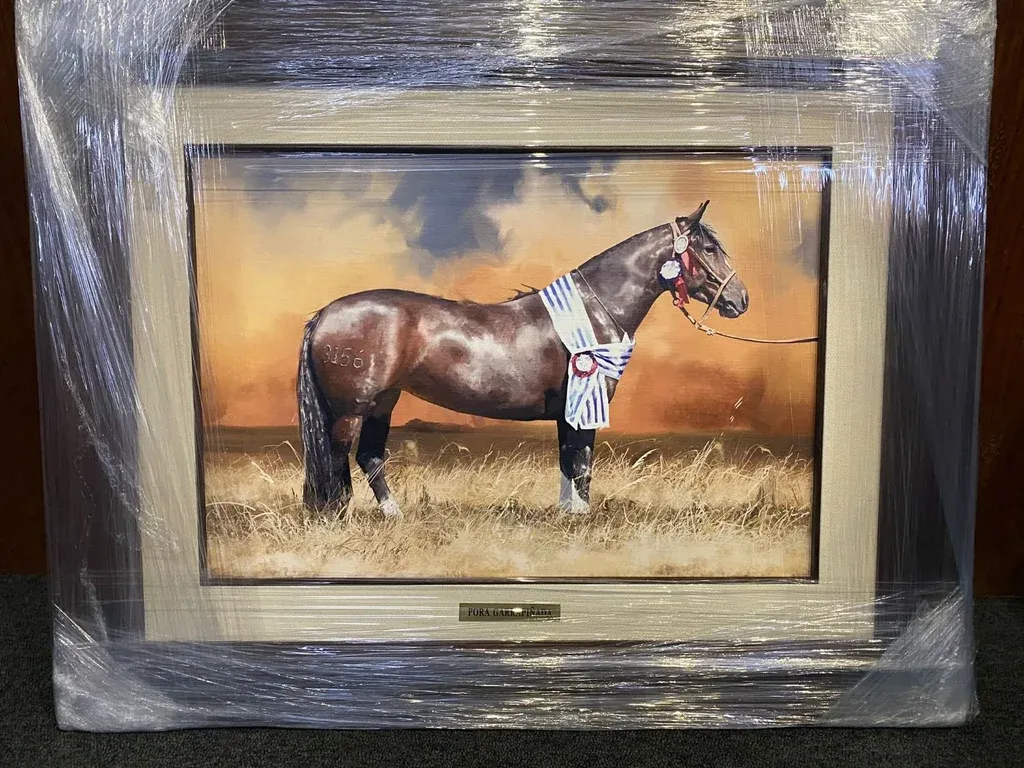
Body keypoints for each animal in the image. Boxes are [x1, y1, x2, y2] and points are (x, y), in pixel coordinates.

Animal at [297, 201, 749, 518]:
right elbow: (582, 463)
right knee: (337, 455)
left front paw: (568, 514)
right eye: (709, 248)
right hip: (352, 408)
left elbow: (569, 461)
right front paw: (581, 517)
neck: (593, 309)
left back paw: (394, 514)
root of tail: (326, 313)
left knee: (370, 457)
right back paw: (338, 513)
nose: (740, 299)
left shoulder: (571, 410)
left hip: (383, 402)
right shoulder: (583, 403)